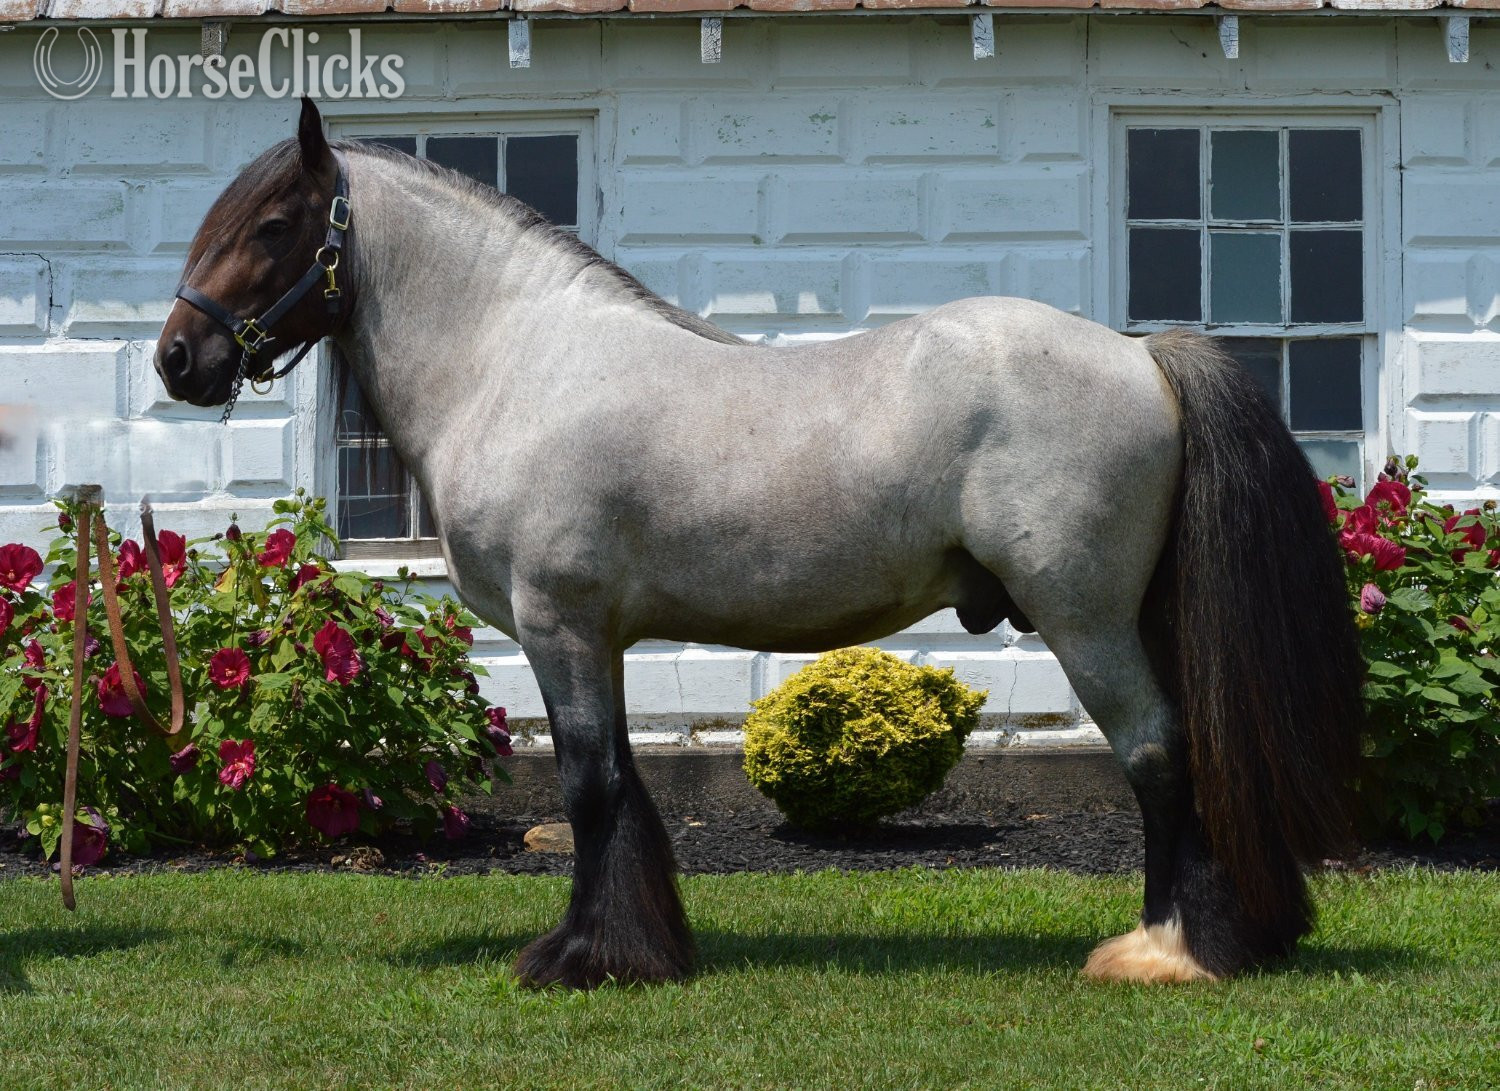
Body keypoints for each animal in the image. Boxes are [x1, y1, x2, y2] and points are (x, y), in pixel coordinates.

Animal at [154, 98, 1364, 988]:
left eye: (273, 226)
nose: (177, 358)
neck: (520, 362)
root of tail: (1139, 355)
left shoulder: (560, 624)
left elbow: (589, 786)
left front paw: (583, 958)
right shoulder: (600, 638)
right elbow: (623, 782)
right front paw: (641, 948)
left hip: (1086, 618)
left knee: (1159, 756)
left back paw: (1167, 950)